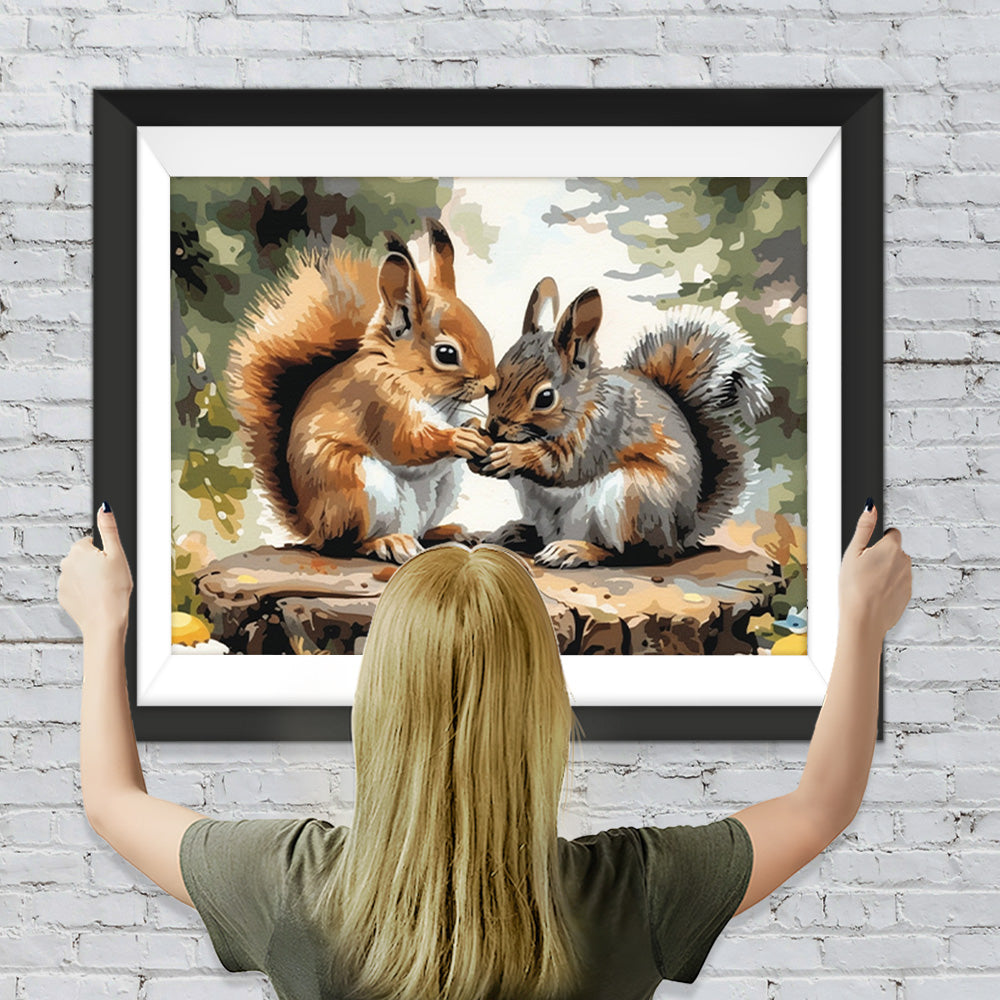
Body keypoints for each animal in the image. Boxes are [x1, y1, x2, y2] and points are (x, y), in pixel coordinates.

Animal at [224, 219, 497, 564]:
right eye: (446, 354)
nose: (492, 384)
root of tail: (312, 528)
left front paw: (474, 428)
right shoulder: (379, 404)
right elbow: (406, 443)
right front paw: (458, 438)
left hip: (442, 490)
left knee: (421, 531)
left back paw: (445, 532)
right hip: (351, 486)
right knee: (345, 545)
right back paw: (386, 543)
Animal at [470, 278, 774, 568]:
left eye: (545, 397)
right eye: (494, 384)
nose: (495, 428)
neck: (584, 401)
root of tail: (683, 532)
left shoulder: (603, 429)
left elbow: (564, 463)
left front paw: (511, 455)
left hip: (634, 501)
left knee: (637, 554)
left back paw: (575, 550)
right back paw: (517, 533)